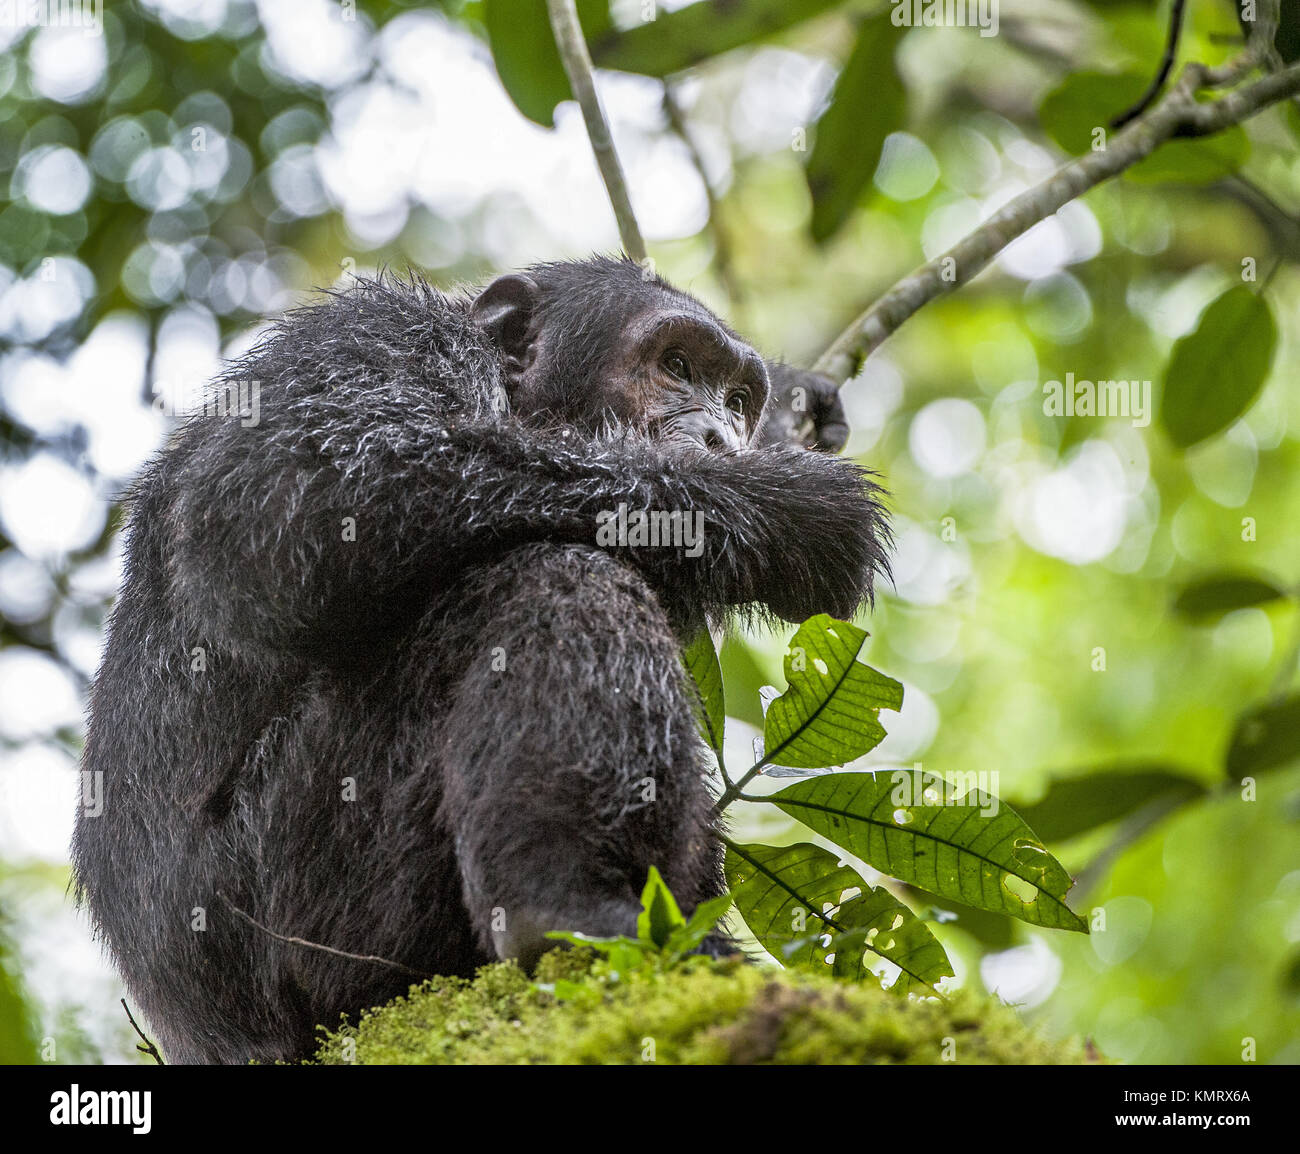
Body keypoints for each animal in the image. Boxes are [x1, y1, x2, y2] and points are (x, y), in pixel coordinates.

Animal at [68, 252, 883, 1065]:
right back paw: (564, 909)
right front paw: (783, 500)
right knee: (549, 575)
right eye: (677, 365)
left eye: (739, 398)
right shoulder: (370, 336)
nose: (721, 434)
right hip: (305, 900)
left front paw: (795, 408)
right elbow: (279, 490)